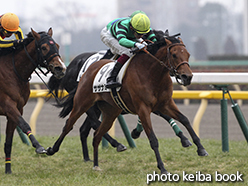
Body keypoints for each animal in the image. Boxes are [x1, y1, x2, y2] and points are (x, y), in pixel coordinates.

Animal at [0, 27, 66, 173]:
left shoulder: (17, 108)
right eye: (44, 47)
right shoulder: (8, 105)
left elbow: (8, 142)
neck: (14, 72)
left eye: (57, 45)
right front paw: (39, 147)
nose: (60, 68)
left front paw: (8, 170)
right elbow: (25, 125)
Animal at [46, 34, 207, 174]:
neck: (152, 74)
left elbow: (185, 119)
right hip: (82, 103)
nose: (187, 77)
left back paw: (95, 164)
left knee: (96, 134)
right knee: (69, 125)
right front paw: (162, 168)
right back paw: (52, 149)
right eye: (174, 55)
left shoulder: (165, 104)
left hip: (110, 112)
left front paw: (200, 148)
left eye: (188, 54)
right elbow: (153, 139)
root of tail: (87, 69)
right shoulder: (143, 108)